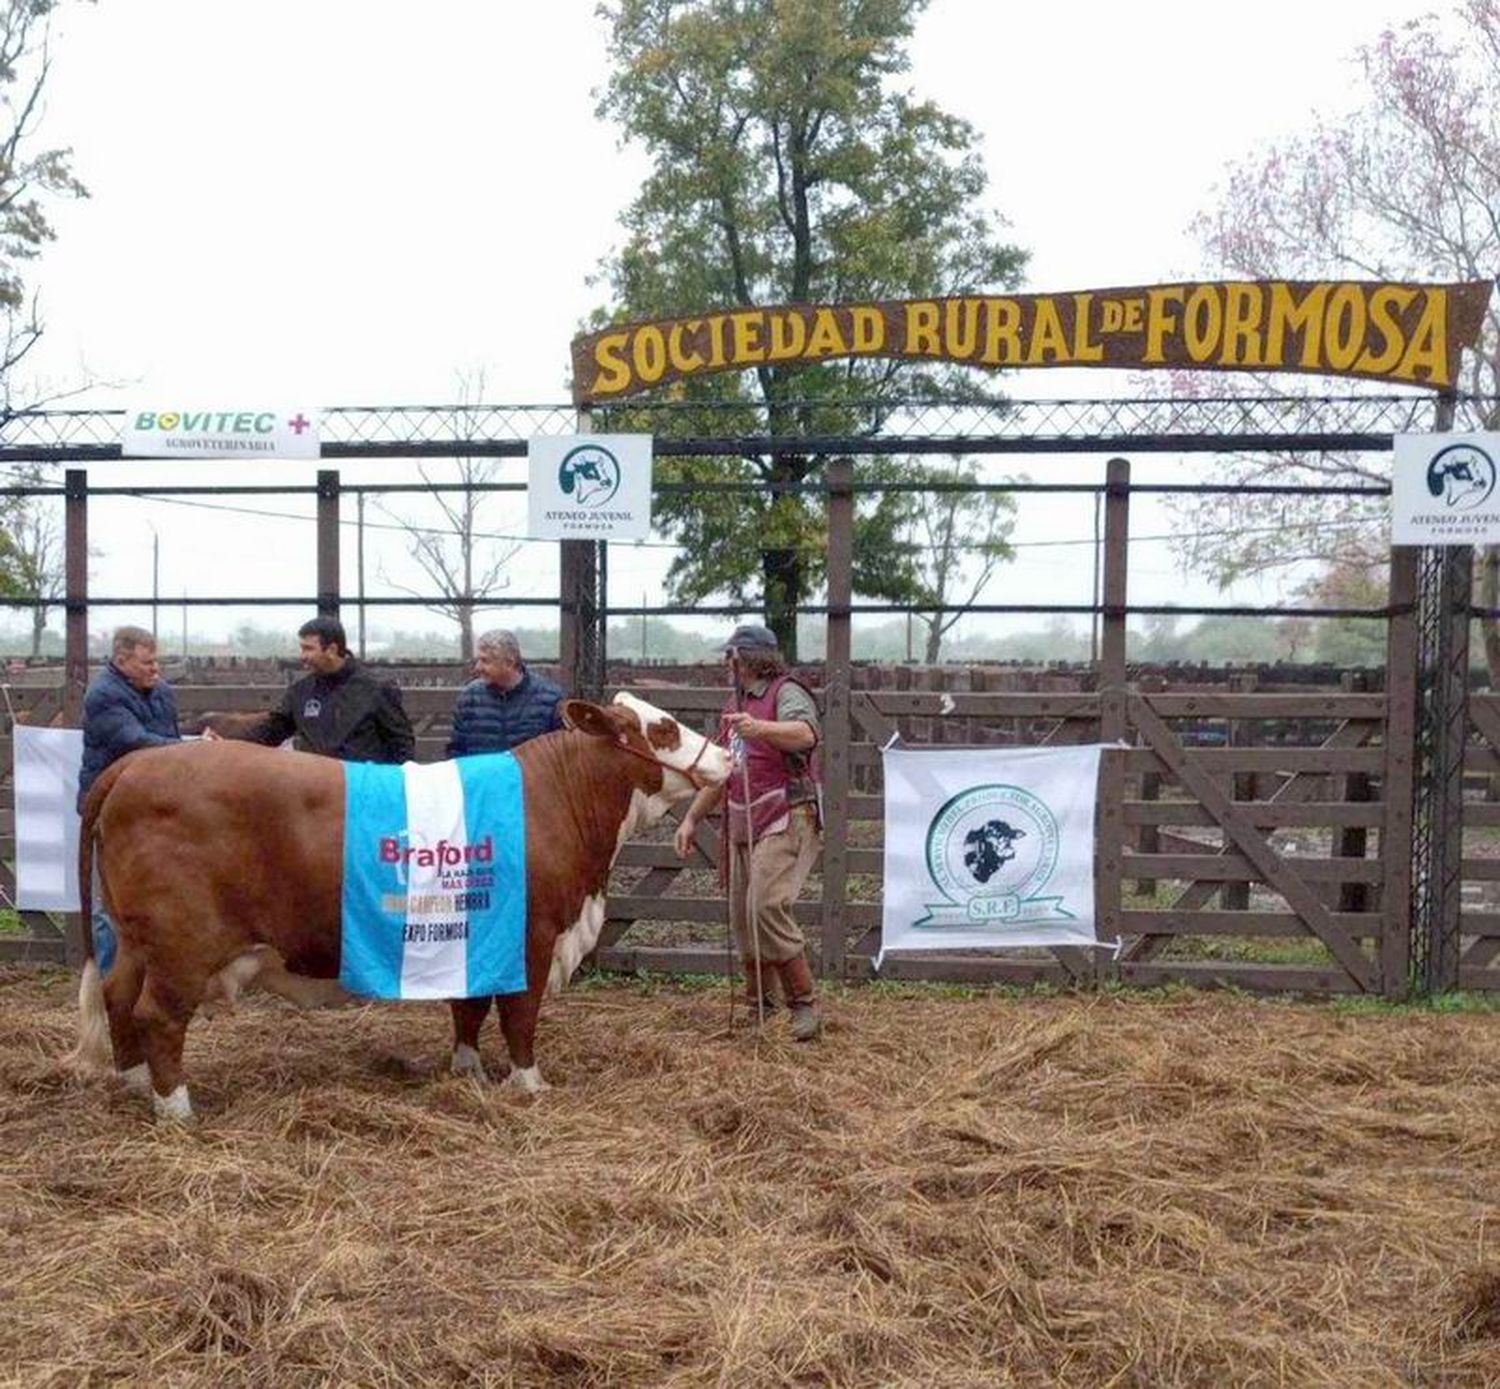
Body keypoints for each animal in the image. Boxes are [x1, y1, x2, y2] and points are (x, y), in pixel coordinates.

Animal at [73, 690, 729, 1128]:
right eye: (663, 729)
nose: (726, 755)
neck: (553, 799)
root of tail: (136, 763)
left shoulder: (476, 934)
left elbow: (469, 1008)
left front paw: (466, 1071)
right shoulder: (532, 936)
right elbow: (520, 1015)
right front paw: (528, 1084)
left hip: (136, 940)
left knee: (117, 996)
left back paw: (133, 1082)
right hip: (182, 943)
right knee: (157, 1015)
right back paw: (177, 1108)